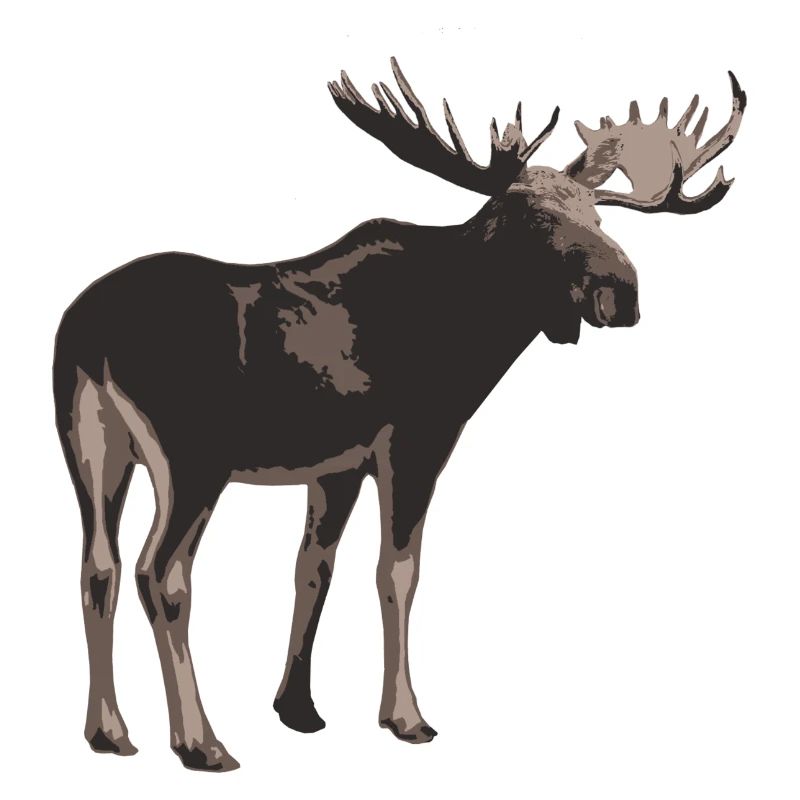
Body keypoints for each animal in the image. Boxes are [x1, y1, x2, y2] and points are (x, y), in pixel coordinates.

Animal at [53, 57, 745, 771]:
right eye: (534, 219)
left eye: (601, 219)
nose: (623, 293)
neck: (473, 336)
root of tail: (86, 332)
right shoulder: (418, 437)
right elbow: (399, 571)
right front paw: (405, 716)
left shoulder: (334, 465)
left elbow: (313, 567)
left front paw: (298, 708)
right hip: (192, 459)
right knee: (160, 573)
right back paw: (199, 741)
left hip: (92, 447)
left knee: (97, 566)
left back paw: (108, 731)